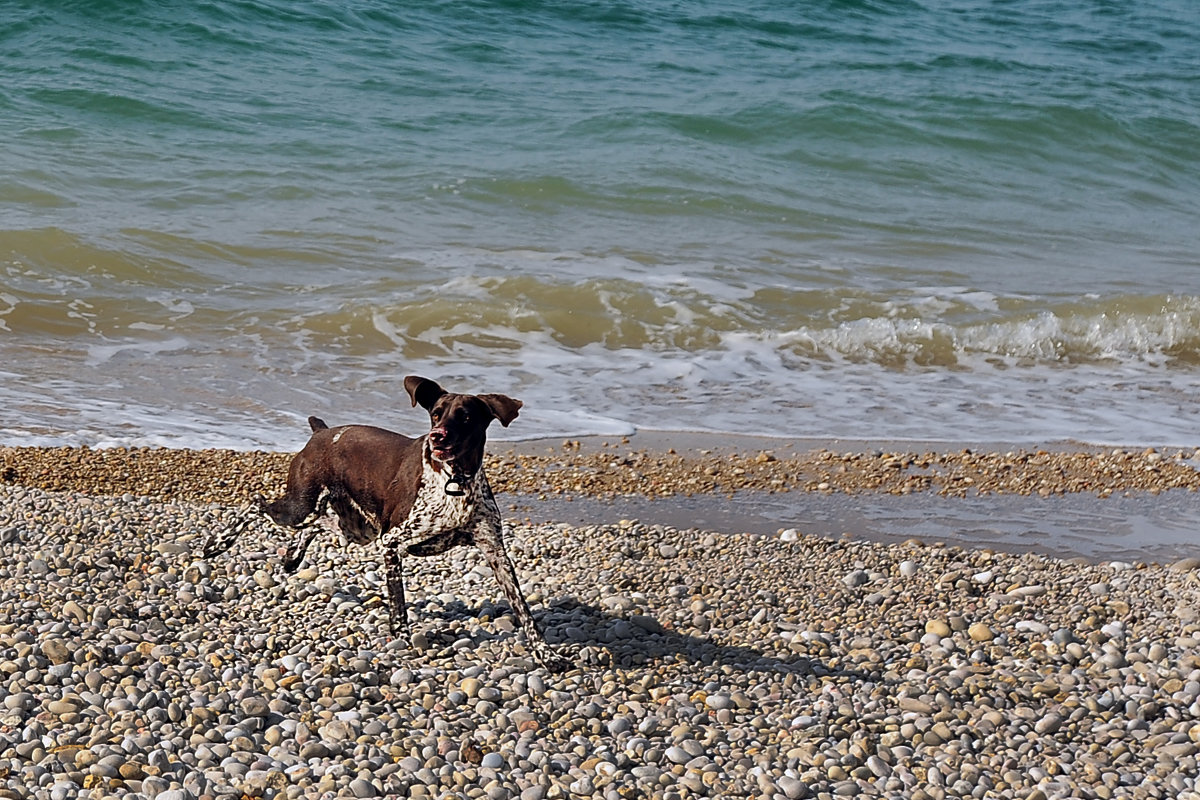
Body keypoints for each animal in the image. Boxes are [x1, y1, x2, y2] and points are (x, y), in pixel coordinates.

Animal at [202, 379, 566, 671]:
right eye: (436, 413)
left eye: (465, 416)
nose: (436, 436)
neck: (455, 480)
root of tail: (322, 432)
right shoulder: (391, 541)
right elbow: (398, 605)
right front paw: (402, 640)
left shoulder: (495, 551)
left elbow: (523, 609)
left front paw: (546, 655)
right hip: (300, 508)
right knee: (256, 504)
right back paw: (217, 544)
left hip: (355, 528)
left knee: (317, 525)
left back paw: (292, 557)